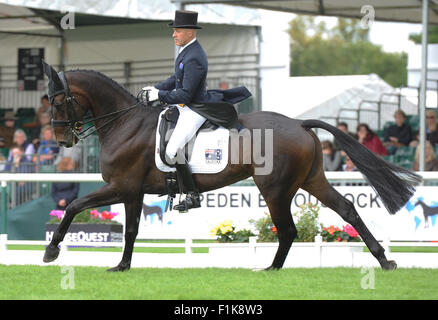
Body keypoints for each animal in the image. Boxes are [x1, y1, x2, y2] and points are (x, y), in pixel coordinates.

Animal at [42, 66, 420, 272]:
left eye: (59, 102)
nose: (61, 140)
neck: (125, 124)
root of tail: (298, 123)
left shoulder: (121, 187)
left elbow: (74, 206)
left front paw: (51, 250)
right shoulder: (132, 192)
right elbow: (132, 231)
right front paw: (121, 266)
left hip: (274, 188)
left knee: (288, 229)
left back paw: (270, 269)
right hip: (312, 179)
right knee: (346, 209)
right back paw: (384, 260)